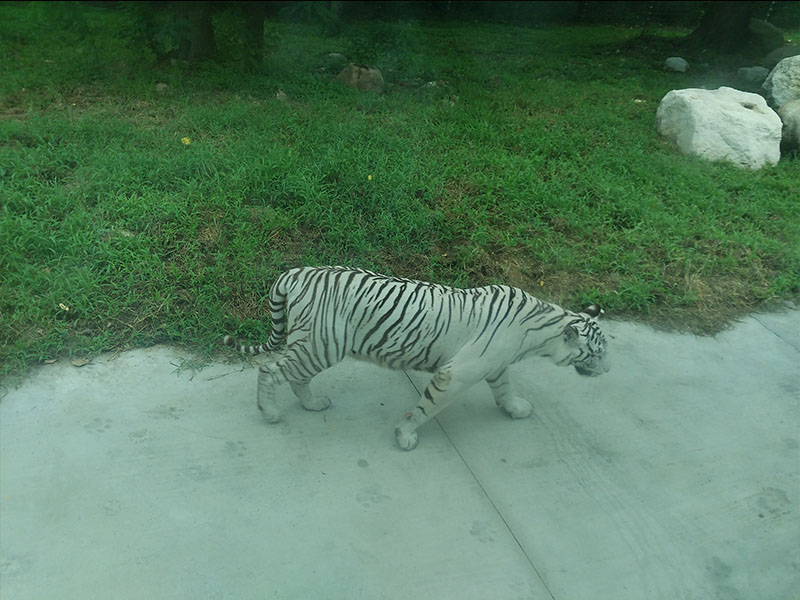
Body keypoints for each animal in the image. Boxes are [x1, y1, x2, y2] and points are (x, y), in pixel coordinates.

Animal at [224, 266, 609, 451]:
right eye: (598, 352)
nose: (608, 369)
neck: (541, 329)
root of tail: (295, 272)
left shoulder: (496, 366)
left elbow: (504, 390)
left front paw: (515, 409)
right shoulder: (455, 374)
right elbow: (427, 407)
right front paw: (404, 435)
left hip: (313, 346)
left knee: (292, 375)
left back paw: (312, 404)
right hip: (321, 346)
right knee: (271, 370)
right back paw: (271, 413)